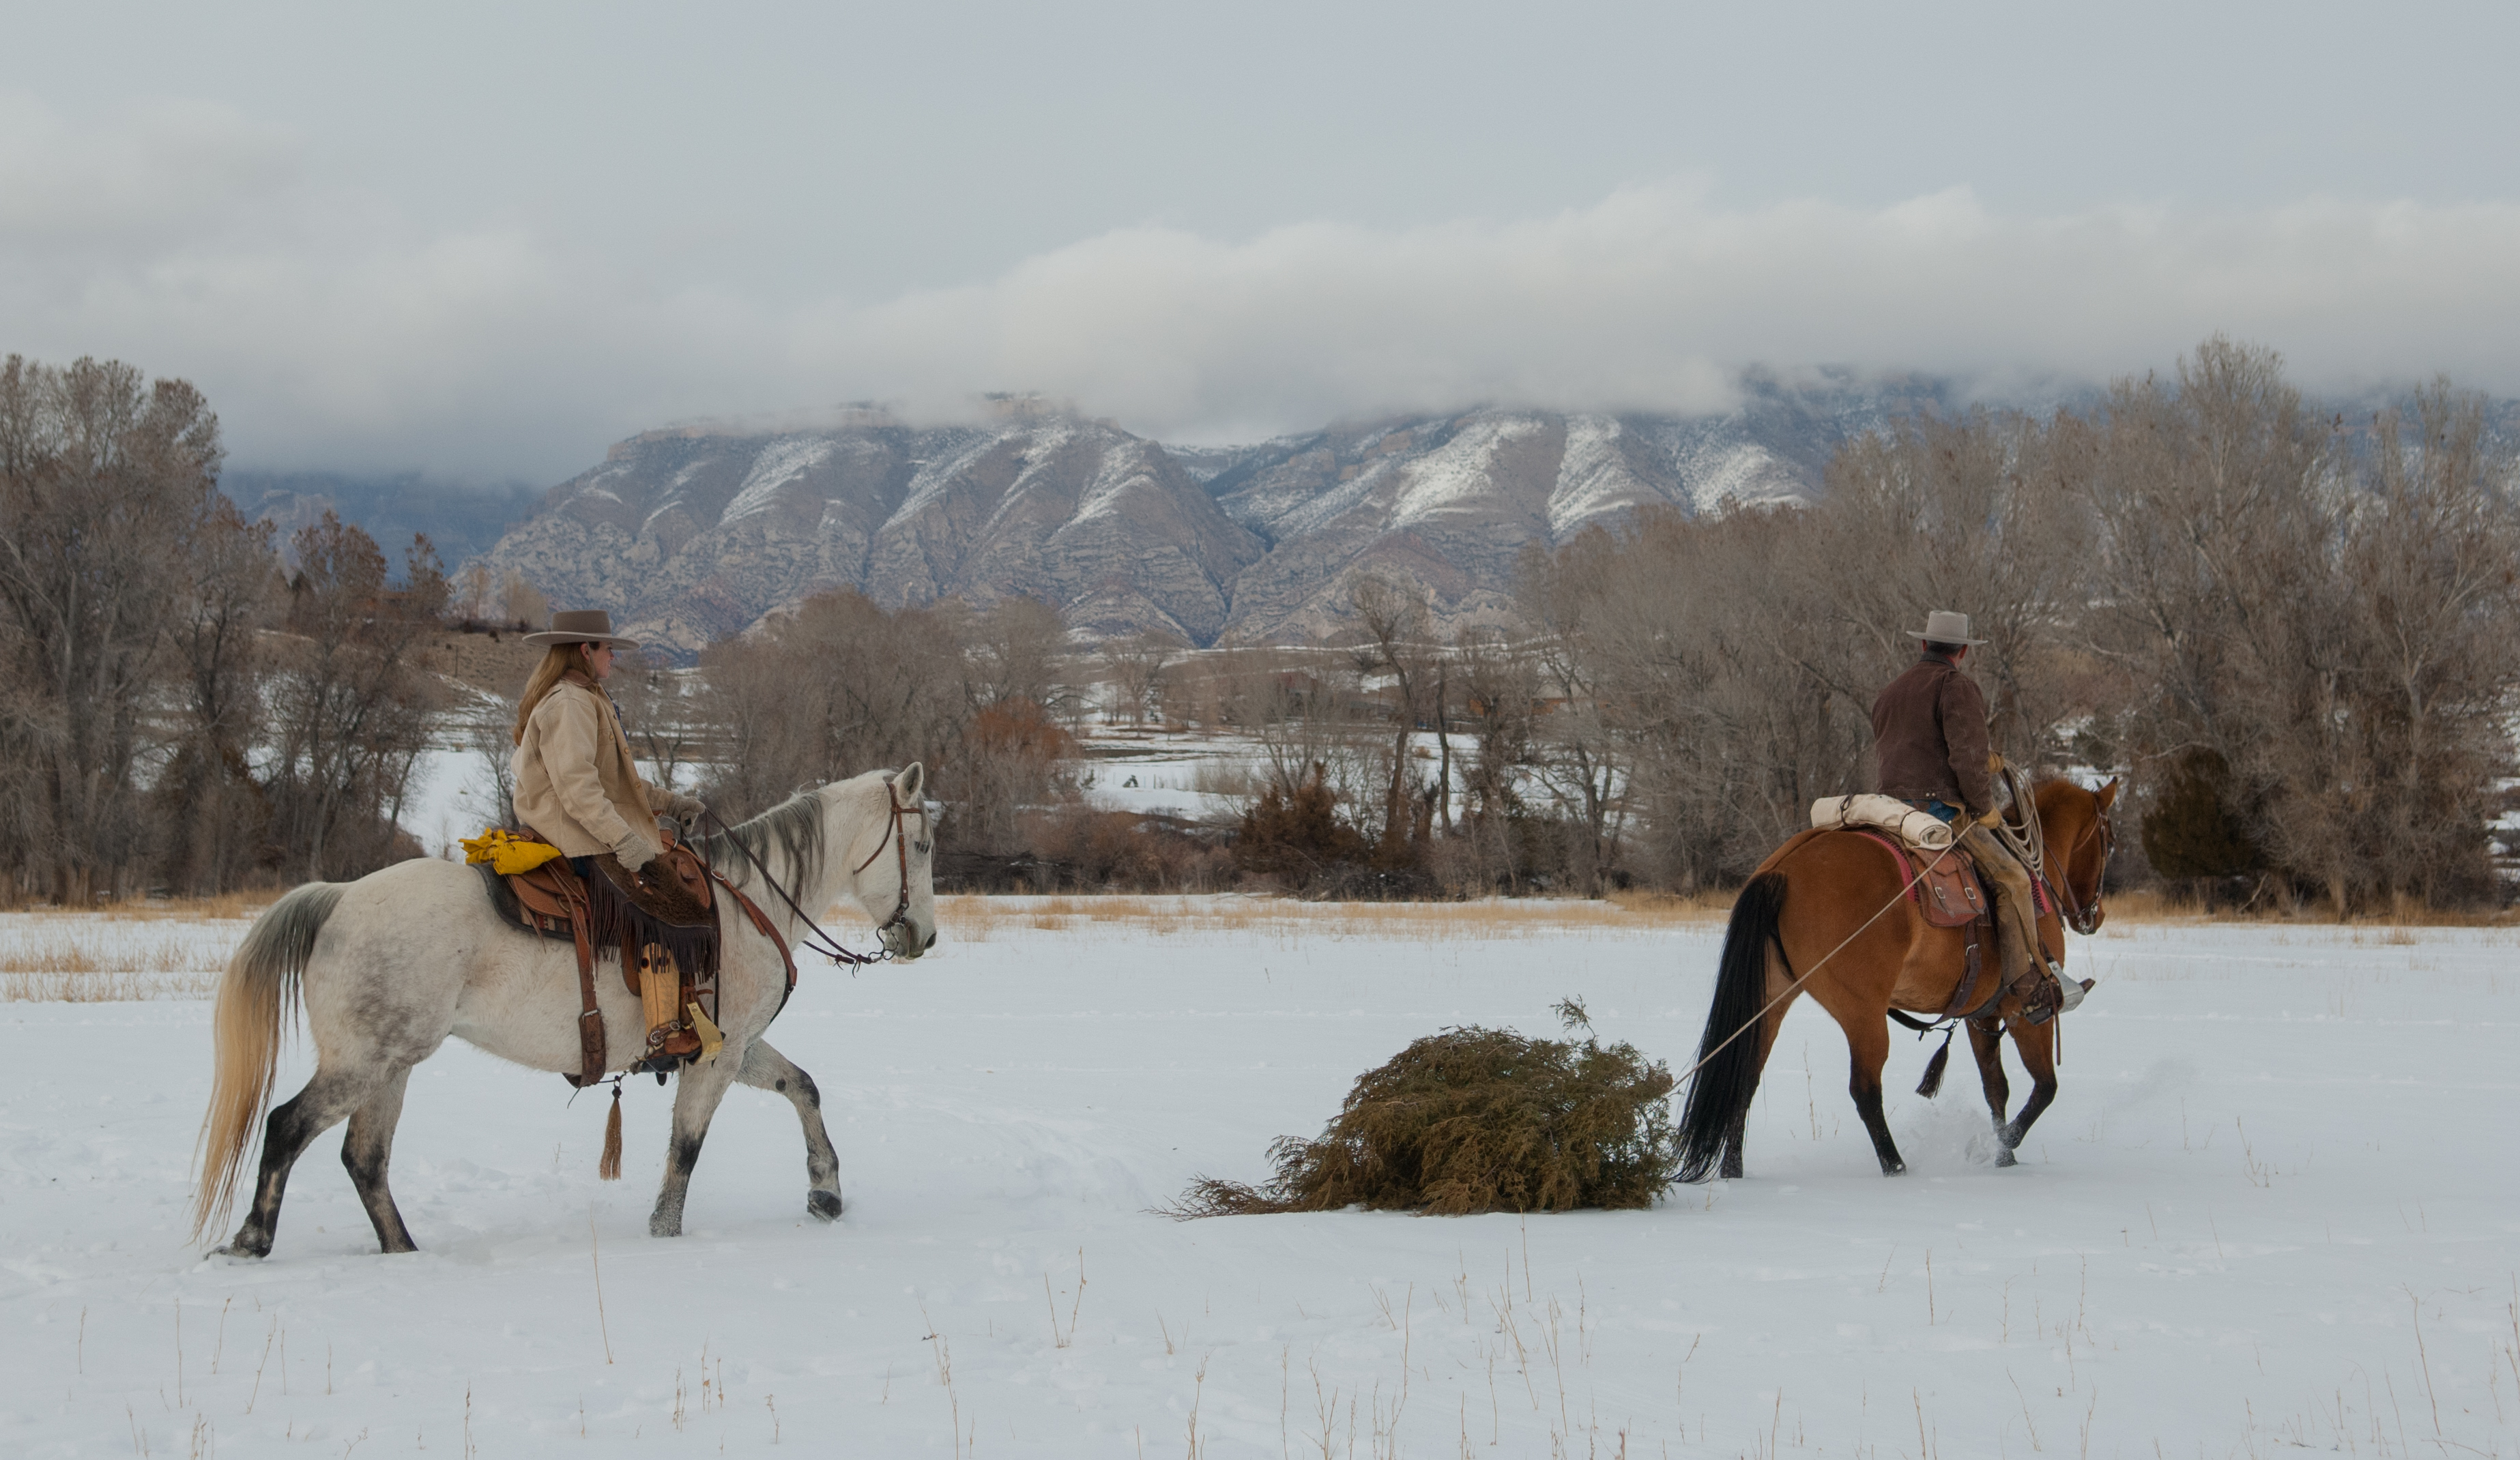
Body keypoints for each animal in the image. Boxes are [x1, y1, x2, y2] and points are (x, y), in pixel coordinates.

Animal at [191, 764, 938, 1259]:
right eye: (924, 845)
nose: (923, 938)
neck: (751, 899)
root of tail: (340, 897)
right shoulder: (718, 1055)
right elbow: (686, 1148)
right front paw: (666, 1237)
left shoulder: (737, 1046)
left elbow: (803, 1087)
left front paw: (826, 1192)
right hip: (364, 1061)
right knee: (288, 1127)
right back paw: (251, 1240)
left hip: (391, 1064)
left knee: (364, 1158)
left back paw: (404, 1249)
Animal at [1674, 778, 2118, 1182]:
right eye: (2109, 841)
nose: (2095, 916)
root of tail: (1783, 868)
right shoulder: (2025, 1012)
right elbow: (2045, 1088)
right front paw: (2000, 1148)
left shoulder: (1982, 1016)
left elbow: (1997, 1088)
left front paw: (2003, 1158)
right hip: (1863, 1013)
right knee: (1865, 1090)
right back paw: (1896, 1167)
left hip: (1770, 1000)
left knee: (1744, 1077)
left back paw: (1733, 1172)